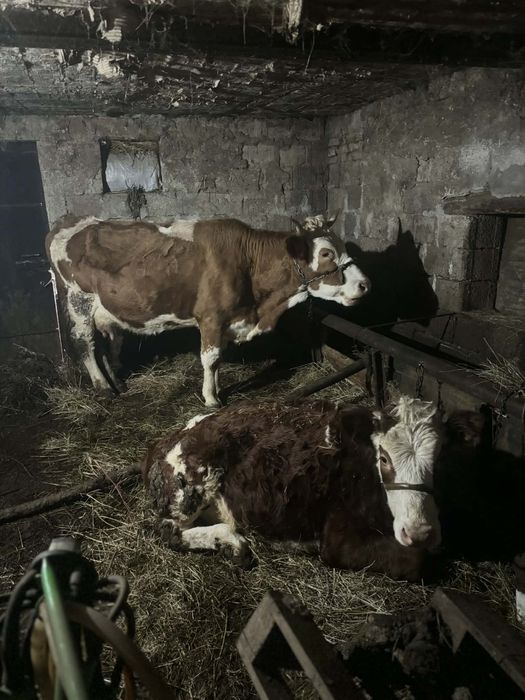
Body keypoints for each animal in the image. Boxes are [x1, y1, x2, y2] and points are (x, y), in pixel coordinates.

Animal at [45, 215, 370, 407]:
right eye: (326, 253)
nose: (365, 285)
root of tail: (69, 220)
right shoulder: (211, 317)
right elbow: (210, 359)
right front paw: (212, 398)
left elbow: (217, 360)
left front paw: (215, 390)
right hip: (78, 301)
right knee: (85, 343)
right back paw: (102, 386)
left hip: (104, 310)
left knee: (109, 341)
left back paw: (118, 380)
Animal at [142, 396, 458, 581]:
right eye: (384, 458)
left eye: (440, 457)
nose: (419, 532)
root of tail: (160, 441)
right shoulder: (338, 542)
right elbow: (414, 563)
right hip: (191, 485)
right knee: (167, 532)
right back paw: (233, 544)